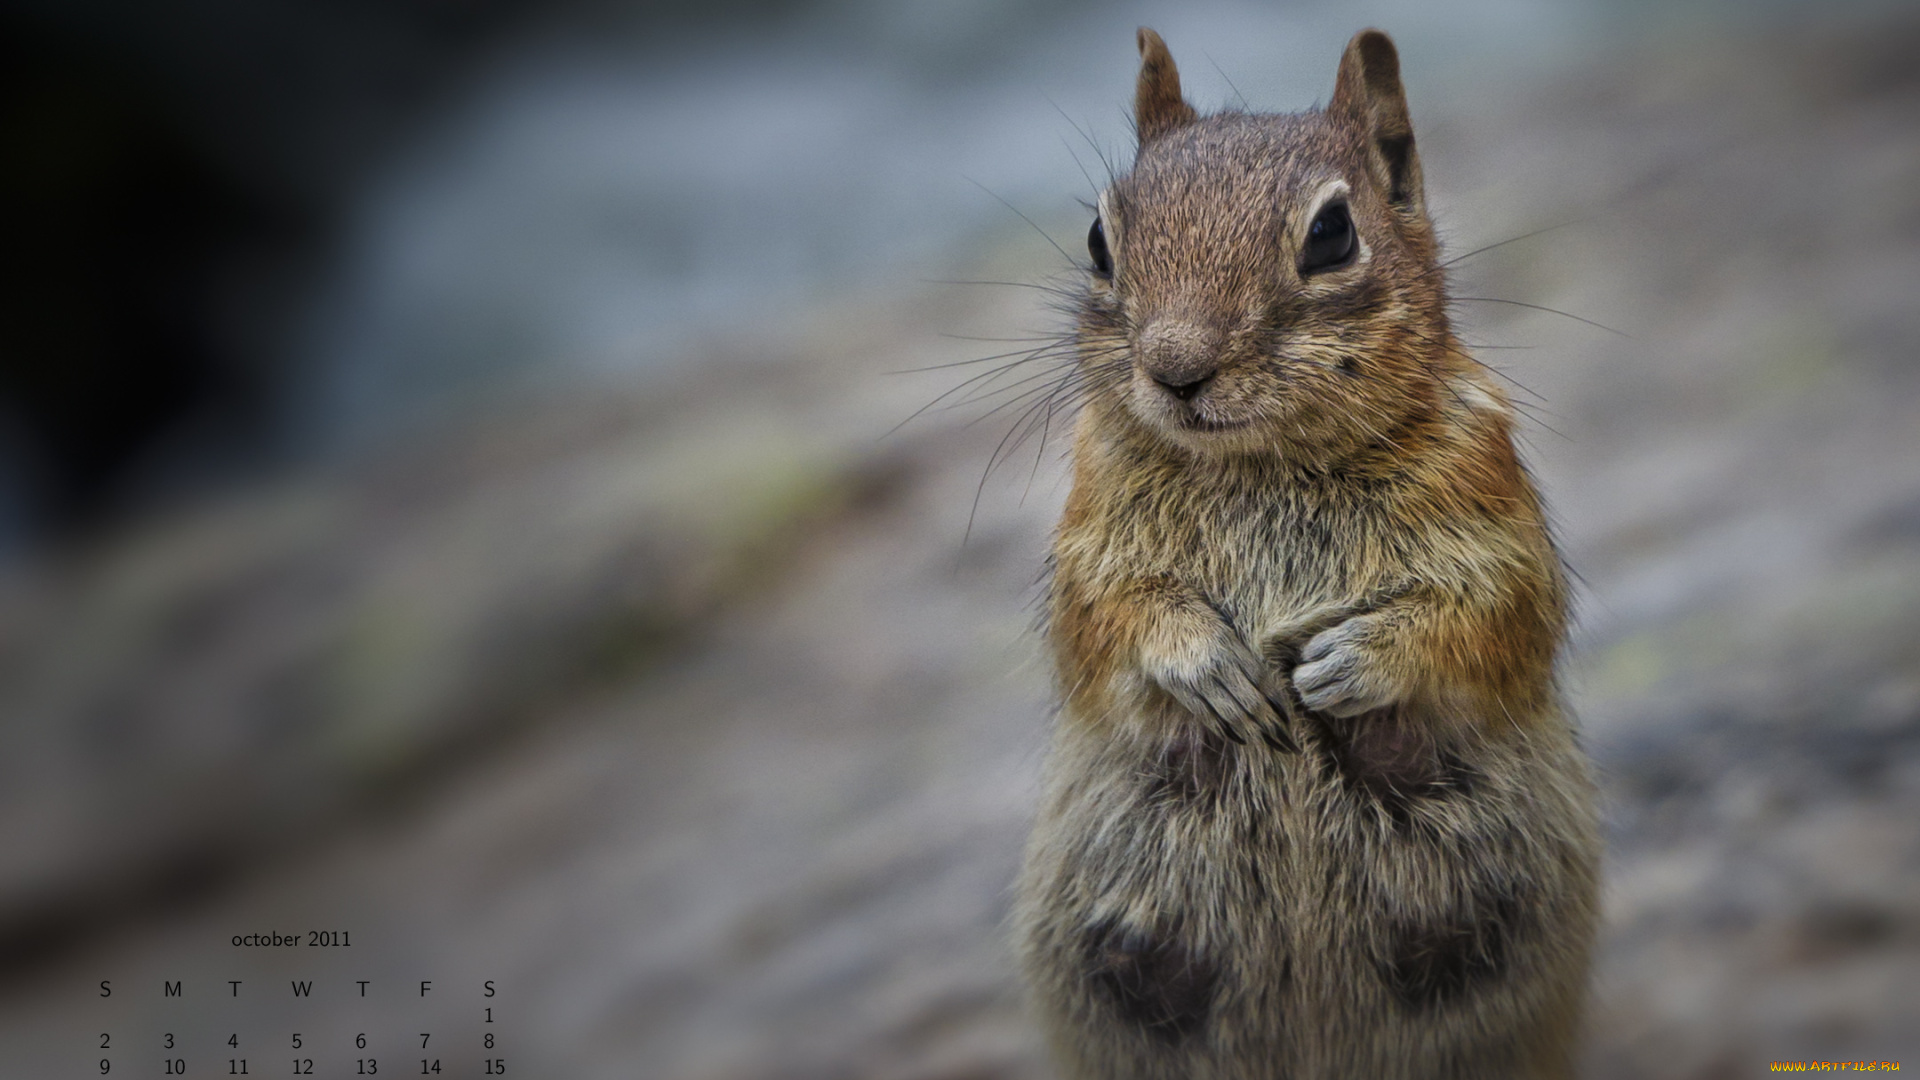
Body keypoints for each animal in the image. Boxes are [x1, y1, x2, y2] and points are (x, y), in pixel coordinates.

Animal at [1013, 25, 1597, 1076]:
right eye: (1097, 242)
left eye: (1332, 235)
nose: (1175, 368)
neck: (1261, 465)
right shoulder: (1087, 550)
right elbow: (1111, 622)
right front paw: (1209, 667)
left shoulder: (1499, 528)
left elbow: (1491, 619)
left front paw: (1350, 662)